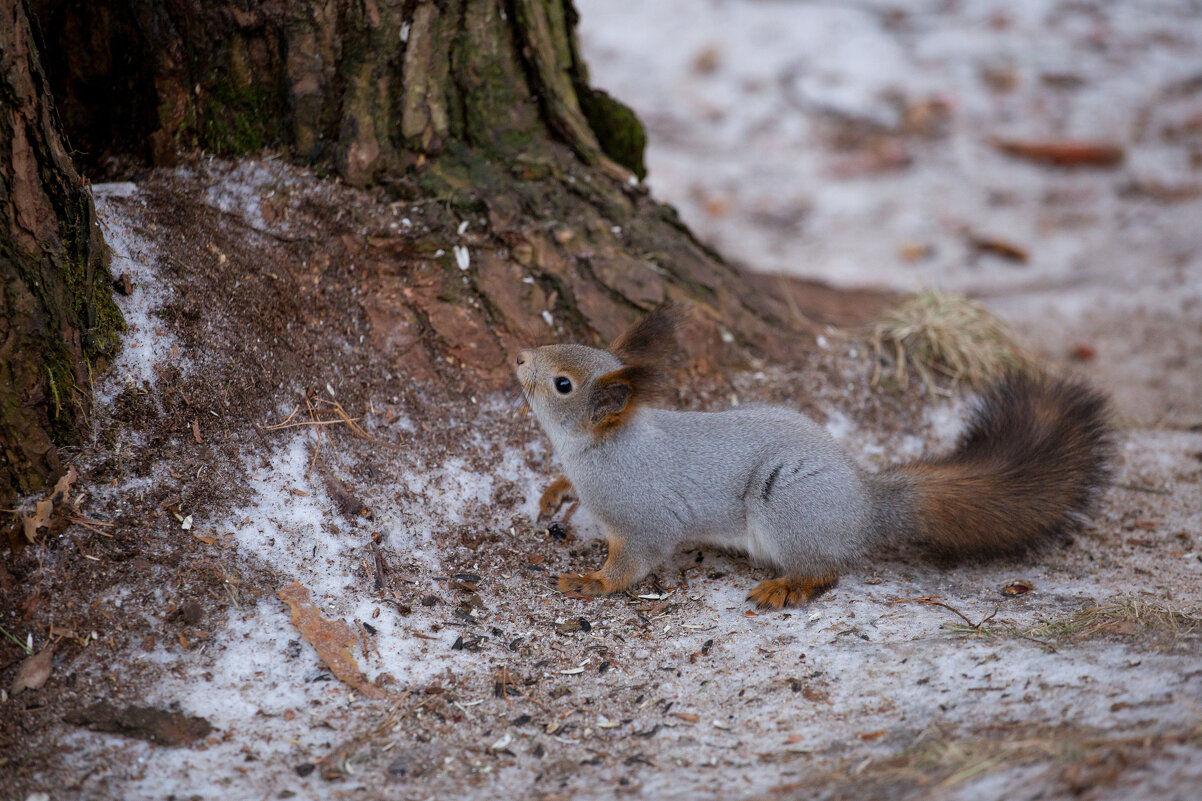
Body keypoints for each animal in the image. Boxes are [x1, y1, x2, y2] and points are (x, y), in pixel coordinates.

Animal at [512, 303, 1110, 608]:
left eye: (562, 384)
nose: (518, 357)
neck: (598, 446)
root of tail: (866, 505)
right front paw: (555, 491)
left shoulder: (642, 513)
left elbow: (637, 558)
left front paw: (593, 582)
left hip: (789, 508)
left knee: (827, 569)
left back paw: (787, 586)